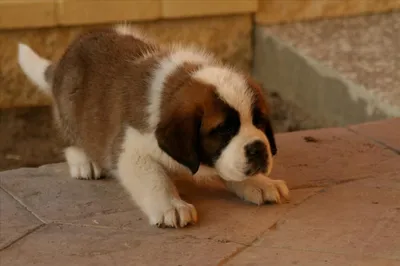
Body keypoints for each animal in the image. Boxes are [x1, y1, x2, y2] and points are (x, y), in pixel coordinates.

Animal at [18, 25, 288, 229]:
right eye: (224, 130)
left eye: (259, 122)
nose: (258, 149)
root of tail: (64, 58)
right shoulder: (131, 148)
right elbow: (153, 177)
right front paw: (171, 206)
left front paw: (260, 183)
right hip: (70, 107)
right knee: (71, 137)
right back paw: (84, 161)